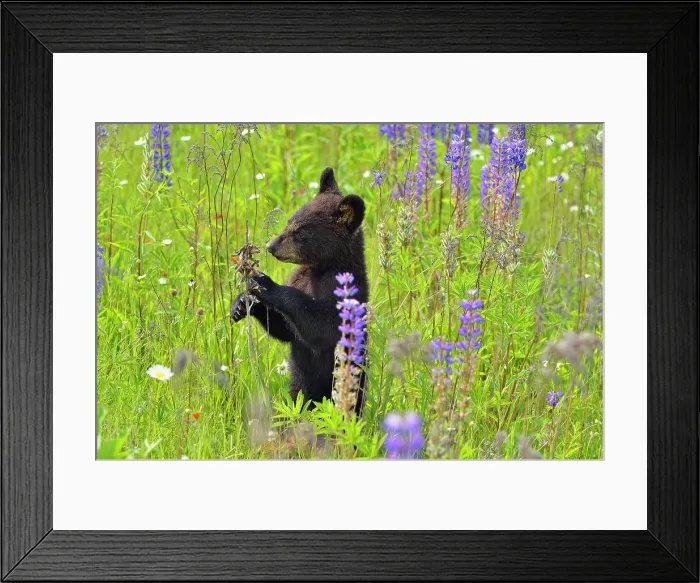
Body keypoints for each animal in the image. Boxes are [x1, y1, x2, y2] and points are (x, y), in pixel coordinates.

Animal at [231, 167, 368, 415]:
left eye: (301, 232)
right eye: (289, 222)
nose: (271, 246)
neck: (320, 268)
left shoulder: (343, 291)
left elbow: (321, 327)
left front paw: (264, 282)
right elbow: (286, 329)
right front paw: (242, 303)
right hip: (298, 389)